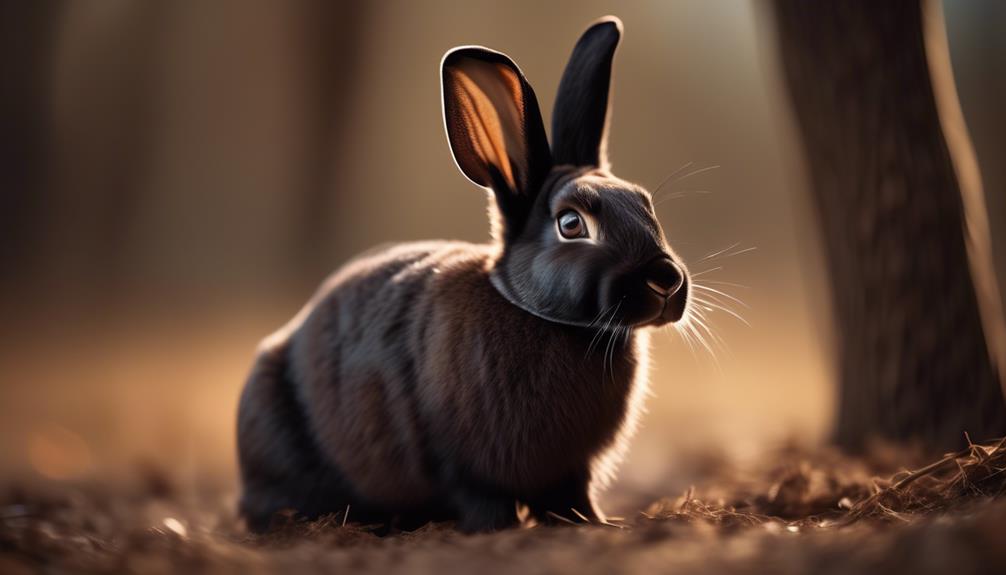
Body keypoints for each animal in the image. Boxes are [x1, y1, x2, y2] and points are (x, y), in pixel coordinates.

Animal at [236, 14, 692, 534]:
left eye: (645, 204)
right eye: (571, 224)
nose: (666, 279)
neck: (548, 318)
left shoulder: (571, 471)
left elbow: (570, 498)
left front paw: (595, 524)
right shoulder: (466, 465)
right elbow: (482, 497)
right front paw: (502, 530)